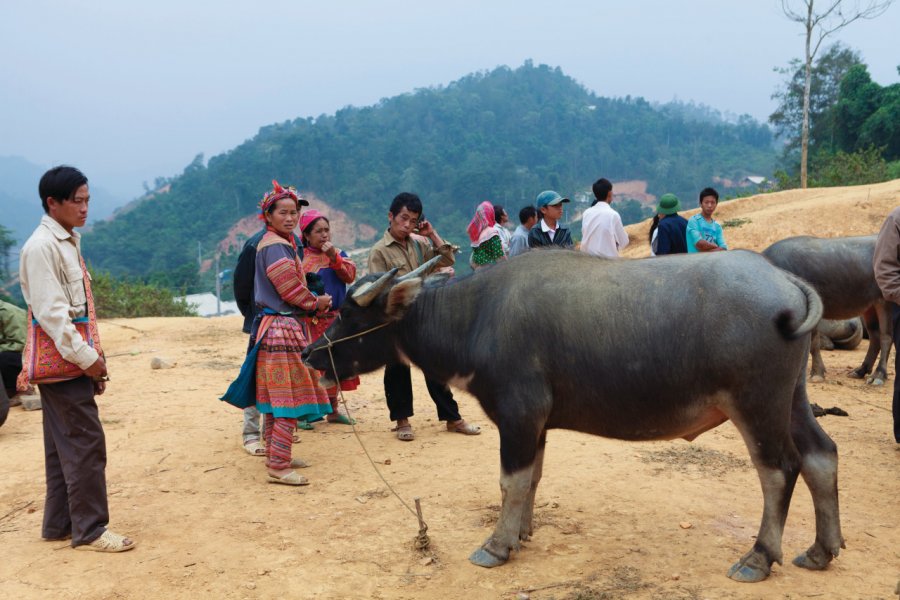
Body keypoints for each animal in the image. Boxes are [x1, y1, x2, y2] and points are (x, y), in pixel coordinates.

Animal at [302, 248, 844, 580]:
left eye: (347, 314)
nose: (310, 355)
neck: (476, 317)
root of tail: (784, 280)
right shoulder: (536, 424)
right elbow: (533, 480)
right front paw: (521, 533)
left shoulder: (519, 415)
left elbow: (511, 482)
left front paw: (496, 545)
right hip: (792, 400)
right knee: (821, 455)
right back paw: (822, 549)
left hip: (756, 404)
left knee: (780, 470)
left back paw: (759, 557)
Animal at [760, 234, 892, 384]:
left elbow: (813, 343)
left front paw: (817, 373)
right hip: (870, 306)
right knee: (875, 336)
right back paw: (860, 371)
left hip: (885, 301)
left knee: (886, 337)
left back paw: (878, 375)